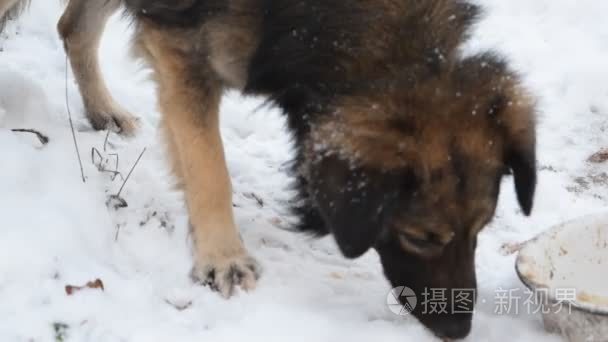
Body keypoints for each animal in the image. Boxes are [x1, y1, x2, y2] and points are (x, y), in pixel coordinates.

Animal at [3, 0, 536, 340]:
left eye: (481, 229)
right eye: (420, 237)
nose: (459, 330)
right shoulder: (183, 47)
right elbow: (209, 169)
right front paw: (223, 258)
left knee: (72, 28)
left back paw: (103, 111)